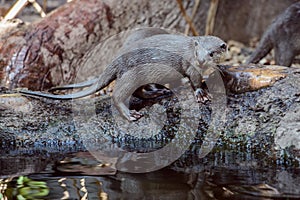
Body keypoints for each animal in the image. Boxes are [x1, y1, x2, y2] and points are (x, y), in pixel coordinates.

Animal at [20, 30, 227, 120]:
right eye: (197, 53)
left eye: (211, 53)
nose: (202, 61)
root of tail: (116, 59)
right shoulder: (191, 66)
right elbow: (195, 81)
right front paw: (202, 94)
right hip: (131, 74)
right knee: (118, 95)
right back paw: (130, 114)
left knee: (138, 91)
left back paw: (156, 93)